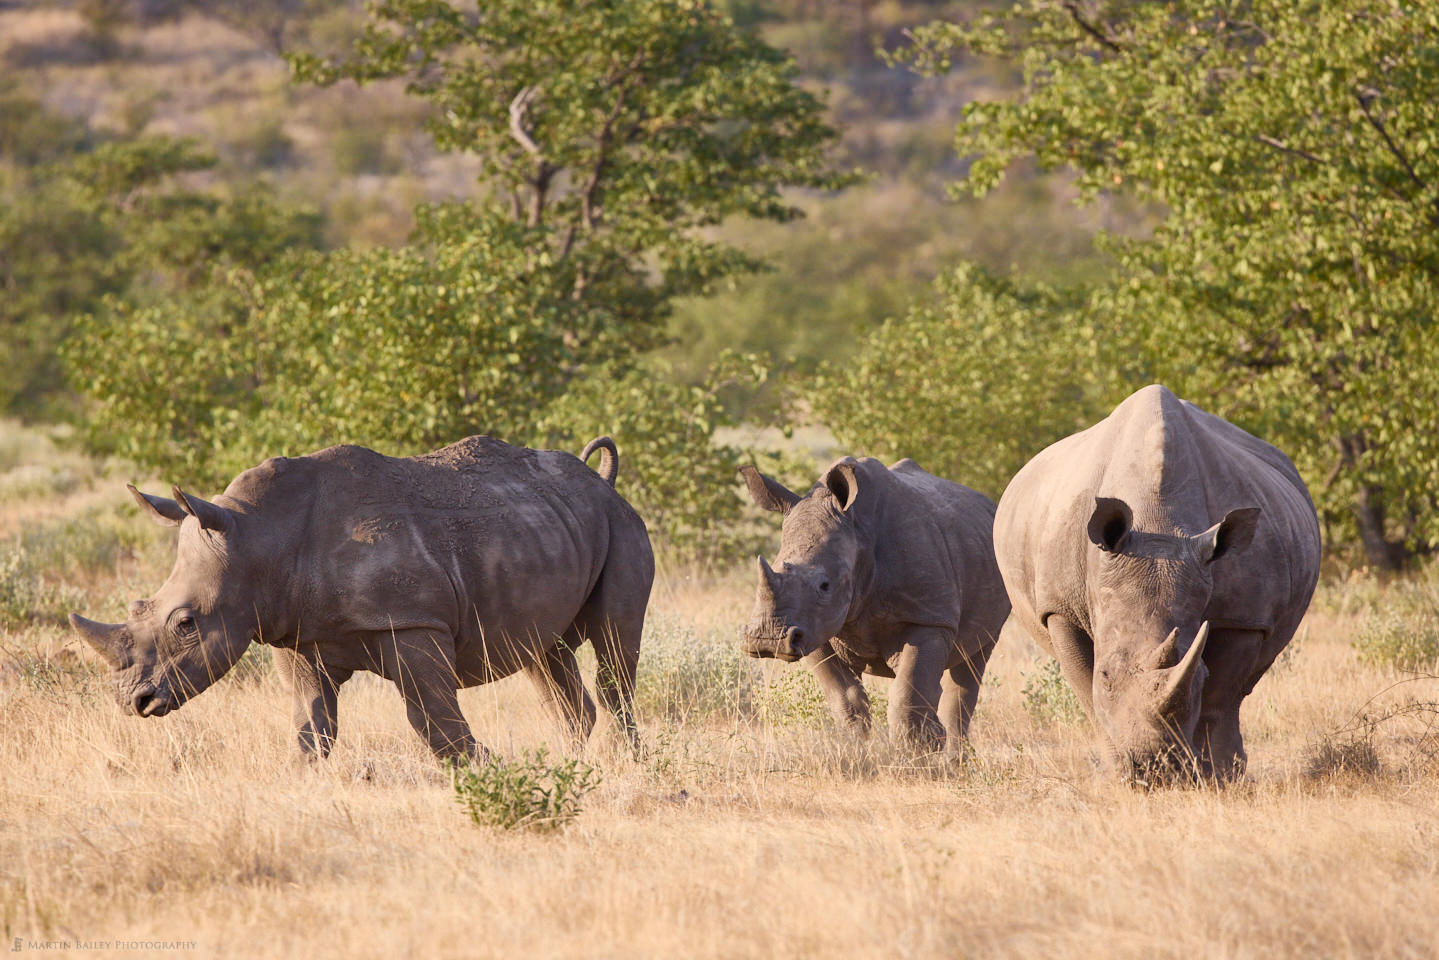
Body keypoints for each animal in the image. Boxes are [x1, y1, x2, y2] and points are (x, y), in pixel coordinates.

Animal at [68, 440, 653, 759]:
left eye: (187, 623)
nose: (135, 702)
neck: (260, 537)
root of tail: (602, 482)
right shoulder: (296, 635)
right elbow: (311, 728)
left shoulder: (413, 622)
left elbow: (434, 721)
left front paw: (496, 770)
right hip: (546, 532)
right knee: (544, 655)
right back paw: (572, 760)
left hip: (622, 524)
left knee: (614, 650)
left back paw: (622, 763)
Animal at [736, 457, 1007, 748]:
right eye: (773, 567)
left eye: (825, 585)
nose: (766, 640)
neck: (859, 537)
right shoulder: (812, 629)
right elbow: (846, 699)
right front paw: (856, 751)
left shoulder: (930, 617)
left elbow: (907, 694)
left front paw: (918, 754)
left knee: (973, 663)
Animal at [995, 382, 1318, 782]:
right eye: (1106, 675)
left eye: (1199, 677)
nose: (1152, 768)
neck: (1159, 525)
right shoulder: (1059, 608)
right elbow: (1087, 692)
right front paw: (1116, 774)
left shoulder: (1245, 615)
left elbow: (1219, 696)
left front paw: (1217, 779)